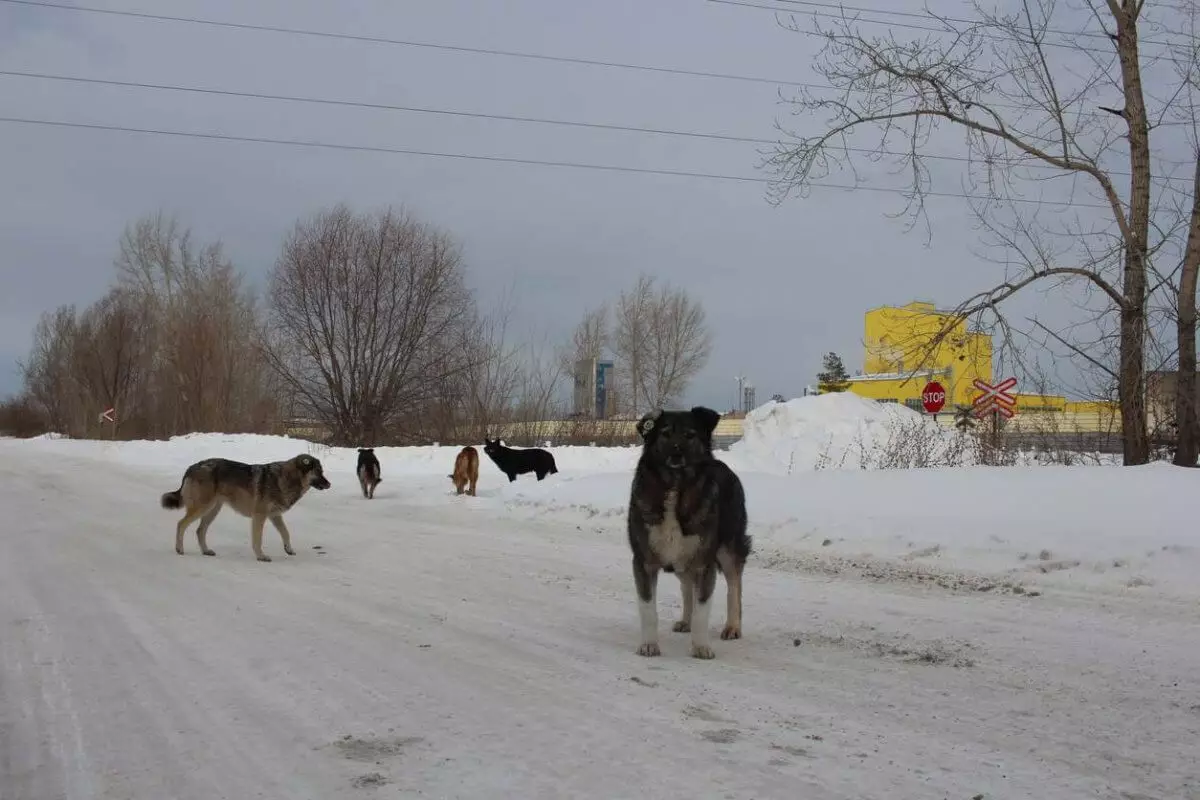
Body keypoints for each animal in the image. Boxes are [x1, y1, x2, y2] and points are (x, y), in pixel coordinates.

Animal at [159, 455, 331, 563]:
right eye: (319, 472)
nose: (329, 484)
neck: (284, 479)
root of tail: (192, 467)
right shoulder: (260, 516)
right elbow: (258, 539)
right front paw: (261, 556)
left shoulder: (275, 516)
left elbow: (286, 532)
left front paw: (288, 549)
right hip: (203, 507)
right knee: (181, 524)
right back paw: (179, 549)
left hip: (213, 510)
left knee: (199, 530)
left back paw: (206, 551)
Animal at [628, 410, 748, 662]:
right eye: (665, 434)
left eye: (690, 435)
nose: (676, 451)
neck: (675, 485)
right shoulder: (644, 562)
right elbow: (648, 609)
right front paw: (649, 645)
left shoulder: (704, 563)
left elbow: (703, 609)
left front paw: (701, 647)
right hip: (681, 560)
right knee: (686, 587)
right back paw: (686, 620)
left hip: (728, 548)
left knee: (734, 586)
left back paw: (732, 627)